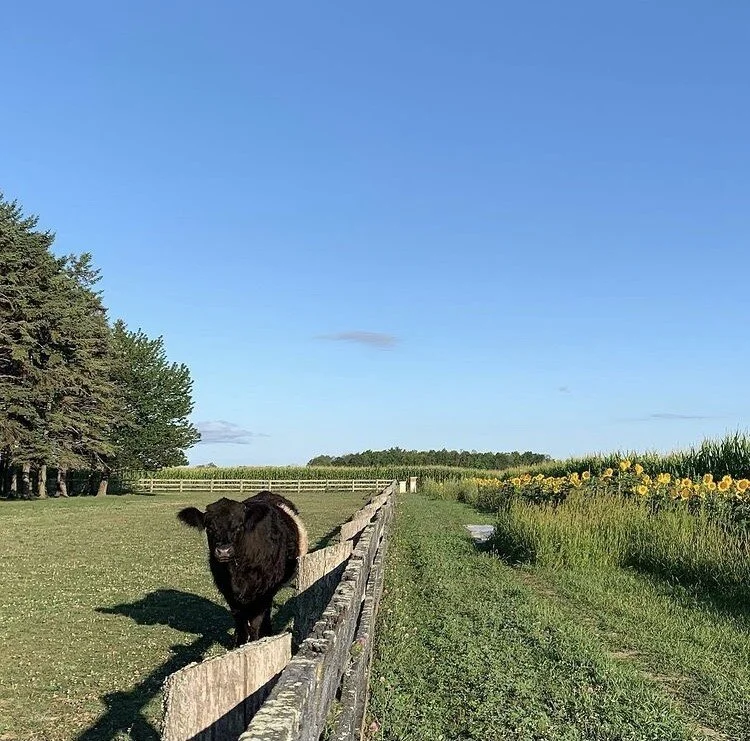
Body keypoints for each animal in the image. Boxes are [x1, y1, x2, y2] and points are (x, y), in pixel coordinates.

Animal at [177, 490, 308, 646]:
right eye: (209, 527)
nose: (224, 551)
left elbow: (255, 622)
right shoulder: (228, 591)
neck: (236, 573)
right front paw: (239, 643)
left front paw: (254, 642)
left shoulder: (263, 592)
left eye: (239, 526)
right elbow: (240, 621)